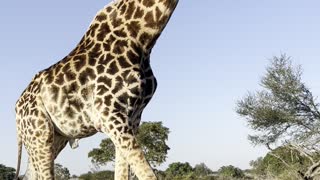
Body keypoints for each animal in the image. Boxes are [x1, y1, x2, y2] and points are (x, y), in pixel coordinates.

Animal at [14, 0, 178, 179]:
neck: (142, 37)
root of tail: (17, 110)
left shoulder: (132, 117)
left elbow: (122, 173)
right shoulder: (109, 114)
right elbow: (146, 174)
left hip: (53, 137)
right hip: (40, 135)